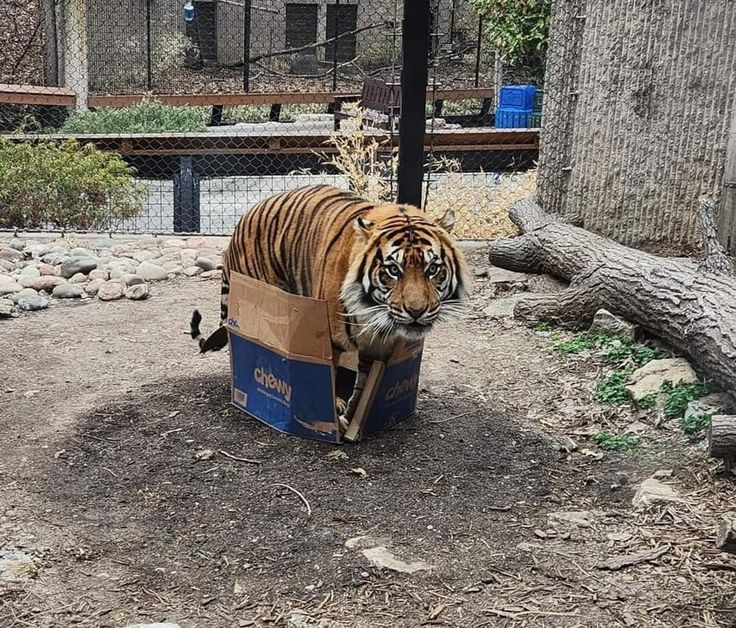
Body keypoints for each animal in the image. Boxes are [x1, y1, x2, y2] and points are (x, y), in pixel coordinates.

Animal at [190, 184, 471, 432]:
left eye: (432, 269)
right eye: (393, 270)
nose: (416, 311)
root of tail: (245, 217)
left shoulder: (377, 351)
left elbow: (365, 387)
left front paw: (356, 420)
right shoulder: (332, 341)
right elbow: (332, 379)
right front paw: (335, 416)